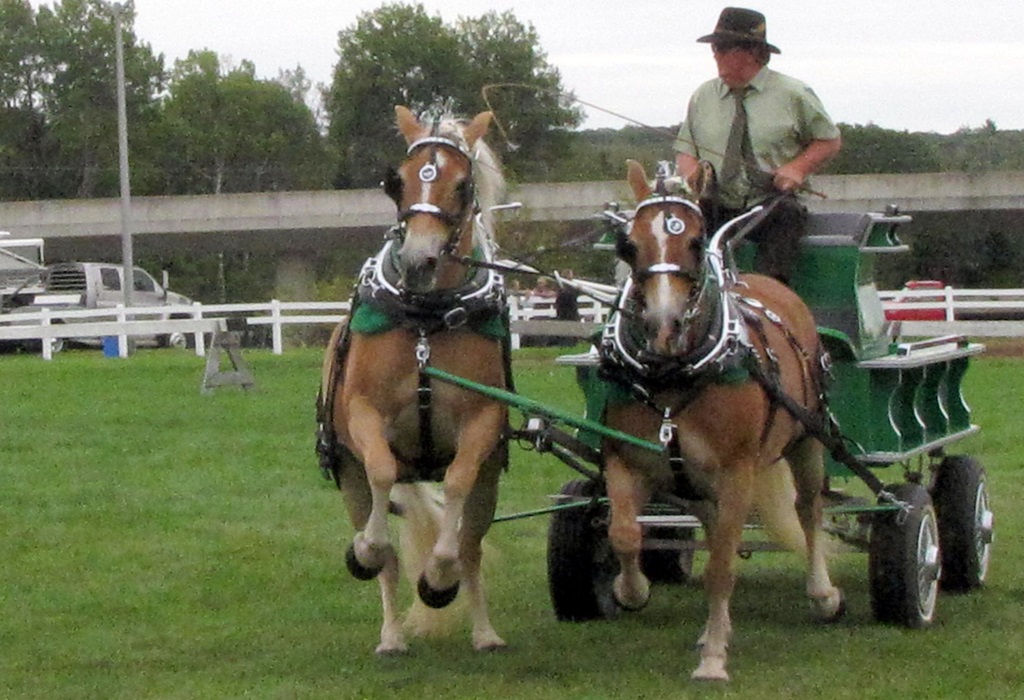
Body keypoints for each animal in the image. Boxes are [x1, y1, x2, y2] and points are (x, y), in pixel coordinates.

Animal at [317, 105, 510, 654]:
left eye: (463, 184)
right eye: (396, 181)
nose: (418, 261)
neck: (426, 318)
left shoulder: (483, 421)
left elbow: (458, 488)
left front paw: (439, 577)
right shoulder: (364, 414)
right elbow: (382, 476)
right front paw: (365, 548)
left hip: (490, 482)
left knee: (471, 544)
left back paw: (484, 631)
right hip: (348, 477)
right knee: (386, 552)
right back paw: (390, 635)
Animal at [597, 160, 844, 681]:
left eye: (695, 241)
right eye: (628, 245)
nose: (663, 325)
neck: (674, 374)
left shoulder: (737, 472)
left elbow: (722, 567)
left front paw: (712, 659)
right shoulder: (624, 460)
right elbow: (626, 534)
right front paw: (632, 591)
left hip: (807, 440)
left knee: (809, 510)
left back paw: (823, 594)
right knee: (714, 529)